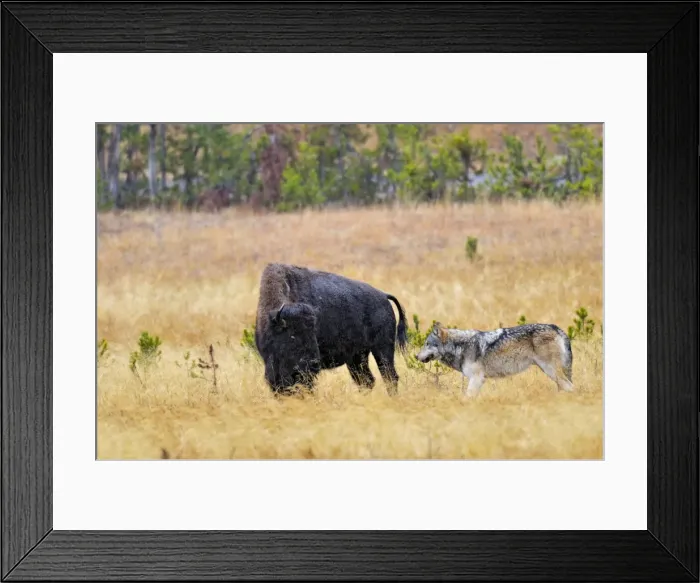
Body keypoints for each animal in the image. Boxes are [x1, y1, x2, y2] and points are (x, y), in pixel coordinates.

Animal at [254, 263, 409, 396]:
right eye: (292, 335)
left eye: (313, 333)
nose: (314, 364)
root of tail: (384, 296)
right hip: (357, 357)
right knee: (367, 380)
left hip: (382, 349)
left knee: (390, 377)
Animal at [415, 322, 574, 396]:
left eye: (427, 344)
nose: (416, 356)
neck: (461, 346)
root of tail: (556, 328)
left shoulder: (477, 378)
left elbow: (467, 397)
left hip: (551, 371)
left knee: (571, 387)